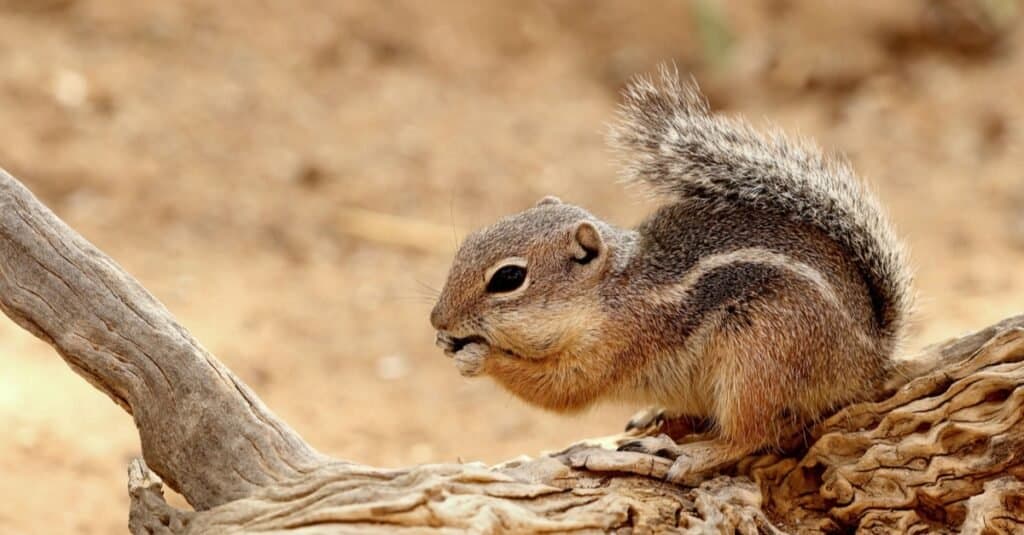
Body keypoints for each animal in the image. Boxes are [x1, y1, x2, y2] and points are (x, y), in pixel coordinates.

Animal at [428, 67, 917, 483]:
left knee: (752, 434)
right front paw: (448, 344)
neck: (608, 292)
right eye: (471, 240)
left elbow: (564, 389)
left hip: (759, 358)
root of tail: (867, 356)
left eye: (508, 278)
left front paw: (477, 356)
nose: (438, 320)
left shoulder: (621, 340)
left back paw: (688, 452)